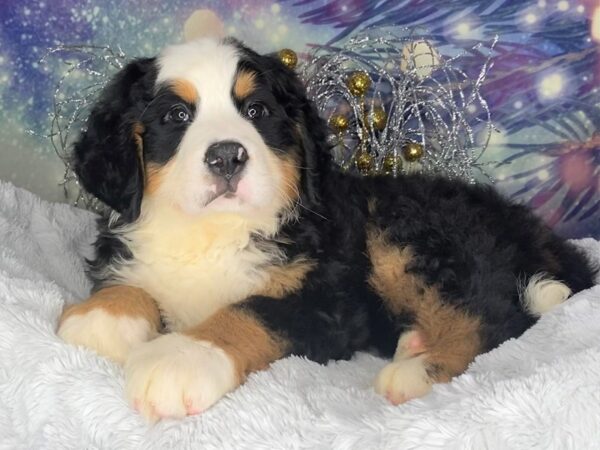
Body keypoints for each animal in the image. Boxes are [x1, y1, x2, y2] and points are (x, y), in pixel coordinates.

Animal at [56, 37, 596, 422]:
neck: (212, 232)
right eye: (176, 115)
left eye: (256, 111)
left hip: (413, 234)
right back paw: (414, 342)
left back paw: (417, 371)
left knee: (495, 317)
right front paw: (101, 318)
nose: (228, 155)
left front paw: (182, 358)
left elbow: (249, 312)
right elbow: (130, 283)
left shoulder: (325, 301)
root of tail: (537, 233)